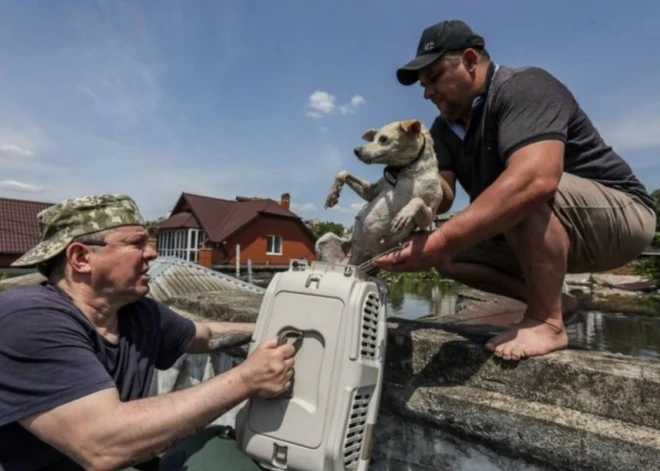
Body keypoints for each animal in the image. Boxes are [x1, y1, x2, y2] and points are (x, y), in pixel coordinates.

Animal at [316, 119, 444, 270]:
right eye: (374, 138)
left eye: (383, 139)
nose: (356, 150)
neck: (406, 171)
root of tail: (352, 261)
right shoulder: (371, 192)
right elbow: (343, 172)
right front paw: (333, 193)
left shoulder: (429, 215)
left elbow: (418, 200)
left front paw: (404, 214)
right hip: (325, 240)